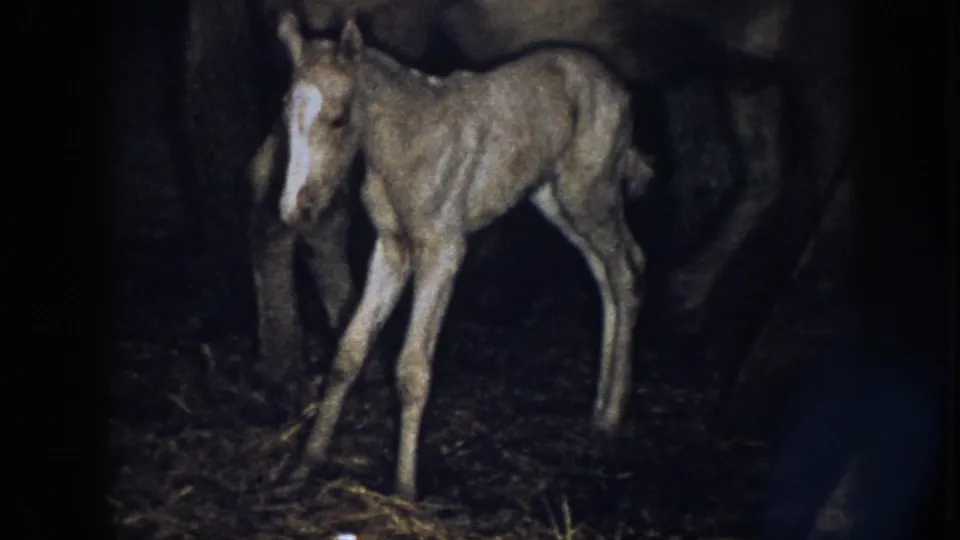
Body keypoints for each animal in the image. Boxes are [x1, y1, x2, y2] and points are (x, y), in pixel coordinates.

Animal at [273, 11, 655, 501]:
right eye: (286, 115)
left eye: (338, 120)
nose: (293, 210)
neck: (406, 143)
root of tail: (613, 83)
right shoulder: (392, 246)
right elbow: (349, 350)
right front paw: (309, 460)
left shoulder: (443, 248)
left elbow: (412, 368)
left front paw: (404, 488)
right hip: (555, 200)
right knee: (604, 273)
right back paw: (600, 406)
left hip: (591, 192)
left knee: (628, 270)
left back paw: (612, 414)